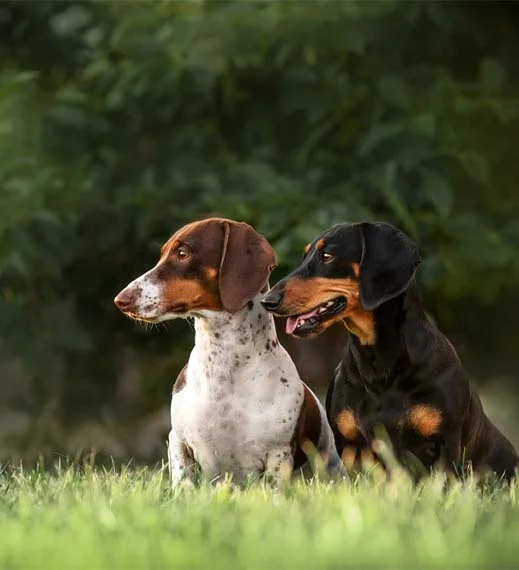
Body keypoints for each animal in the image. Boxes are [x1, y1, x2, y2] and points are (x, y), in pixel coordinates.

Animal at [114, 217, 344, 484]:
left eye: (182, 254)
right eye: (162, 254)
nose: (121, 300)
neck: (225, 366)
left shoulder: (278, 455)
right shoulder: (178, 442)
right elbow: (184, 481)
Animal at [264, 220, 519, 478]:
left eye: (327, 255)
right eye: (305, 256)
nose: (267, 300)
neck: (380, 366)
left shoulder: (446, 443)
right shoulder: (350, 447)